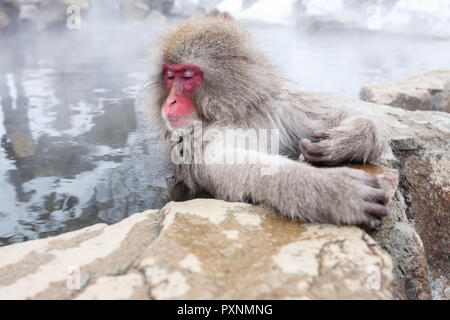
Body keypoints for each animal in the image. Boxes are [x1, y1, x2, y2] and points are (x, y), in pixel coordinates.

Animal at [146, 14, 392, 228]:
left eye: (187, 76)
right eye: (169, 76)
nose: (170, 102)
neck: (238, 112)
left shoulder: (279, 107)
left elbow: (345, 110)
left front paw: (346, 141)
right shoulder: (198, 140)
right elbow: (233, 167)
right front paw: (333, 190)